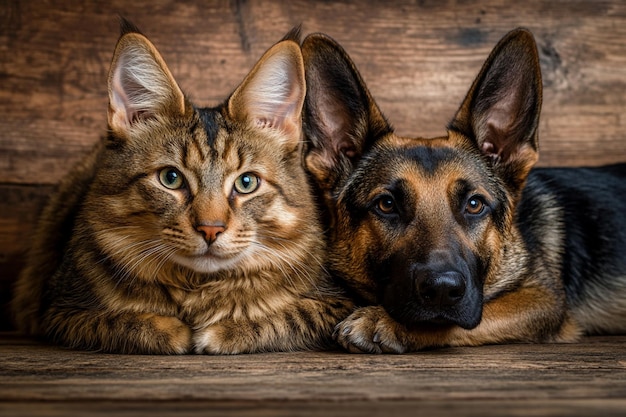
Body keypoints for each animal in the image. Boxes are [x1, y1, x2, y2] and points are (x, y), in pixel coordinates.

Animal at [12, 22, 352, 354]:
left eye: (246, 183)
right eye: (171, 178)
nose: (211, 229)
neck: (197, 290)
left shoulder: (336, 302)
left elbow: (286, 316)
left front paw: (221, 330)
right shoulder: (60, 309)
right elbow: (123, 322)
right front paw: (177, 330)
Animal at [298, 27, 624, 352]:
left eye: (474, 204)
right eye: (386, 204)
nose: (443, 290)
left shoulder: (543, 300)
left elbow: (468, 319)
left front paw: (382, 321)